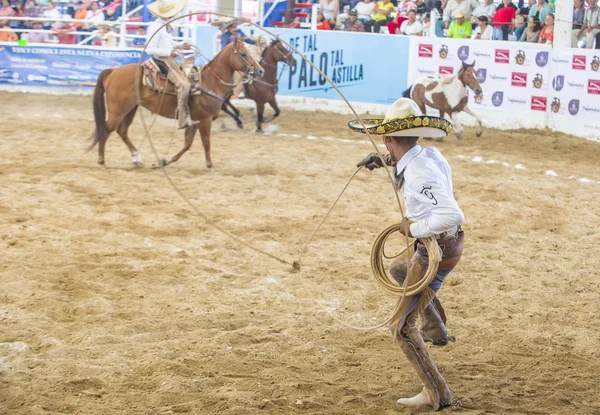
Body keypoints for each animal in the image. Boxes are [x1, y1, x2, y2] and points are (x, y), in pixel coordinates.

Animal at [90, 39, 264, 169]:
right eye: (244, 54)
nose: (260, 70)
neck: (210, 82)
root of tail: (113, 71)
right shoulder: (205, 119)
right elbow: (206, 143)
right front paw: (209, 164)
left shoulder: (195, 120)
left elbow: (187, 143)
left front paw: (165, 161)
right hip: (118, 110)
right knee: (106, 129)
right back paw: (101, 160)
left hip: (130, 109)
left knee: (122, 131)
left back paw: (137, 158)